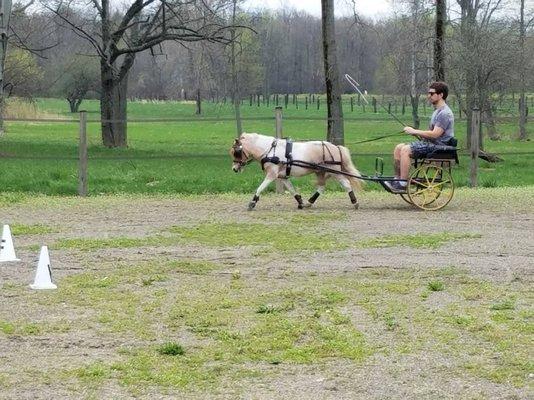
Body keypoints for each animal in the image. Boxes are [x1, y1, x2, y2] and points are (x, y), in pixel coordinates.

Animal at [230, 133, 364, 211]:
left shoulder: (272, 174)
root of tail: (335, 147)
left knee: (346, 184)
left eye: (237, 152)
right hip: (320, 172)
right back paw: (309, 203)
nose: (234, 169)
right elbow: (291, 189)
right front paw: (300, 202)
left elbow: (260, 187)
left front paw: (252, 202)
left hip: (335, 172)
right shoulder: (282, 176)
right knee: (321, 187)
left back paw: (355, 203)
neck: (270, 150)